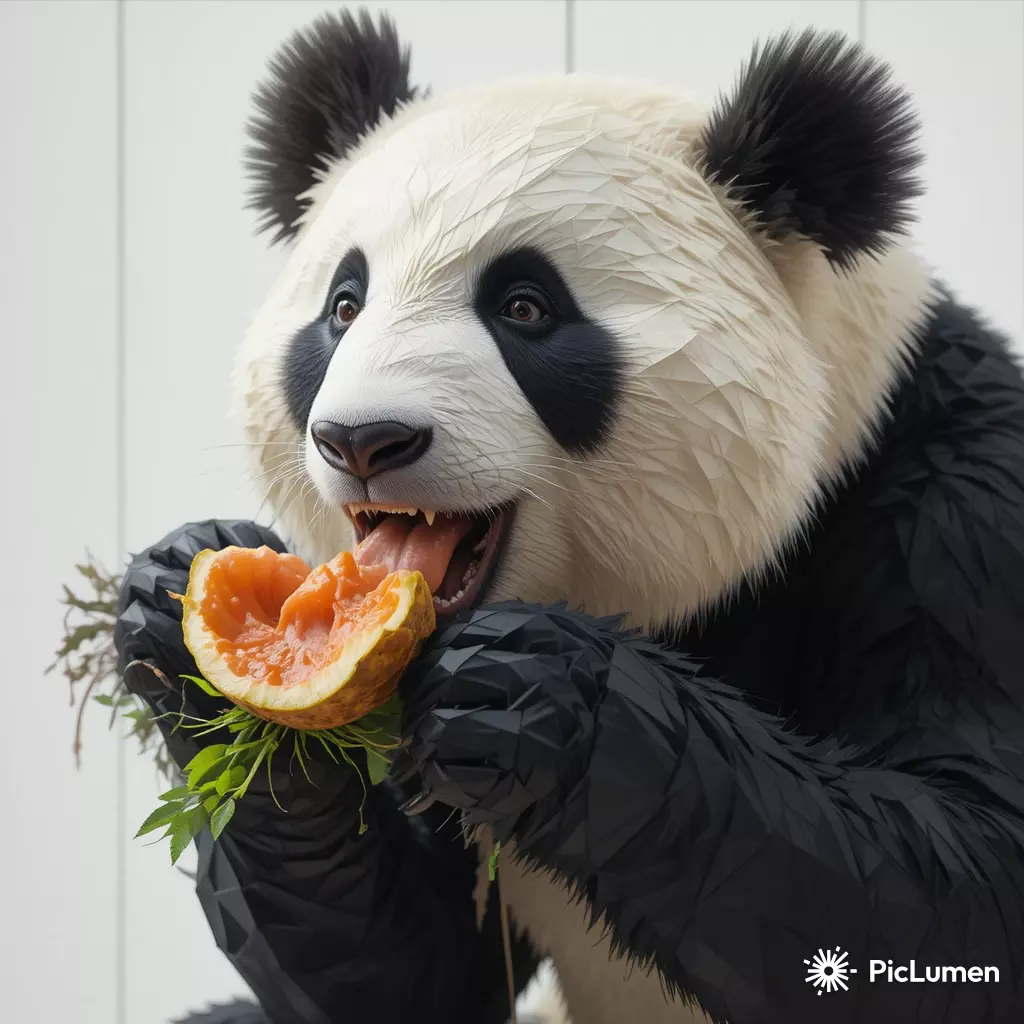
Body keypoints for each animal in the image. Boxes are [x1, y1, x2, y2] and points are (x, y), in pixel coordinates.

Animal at [115, 8, 1024, 1024]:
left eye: (525, 307)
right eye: (343, 306)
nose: (364, 440)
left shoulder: (956, 518)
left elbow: (953, 882)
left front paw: (532, 692)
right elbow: (418, 968)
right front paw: (179, 616)